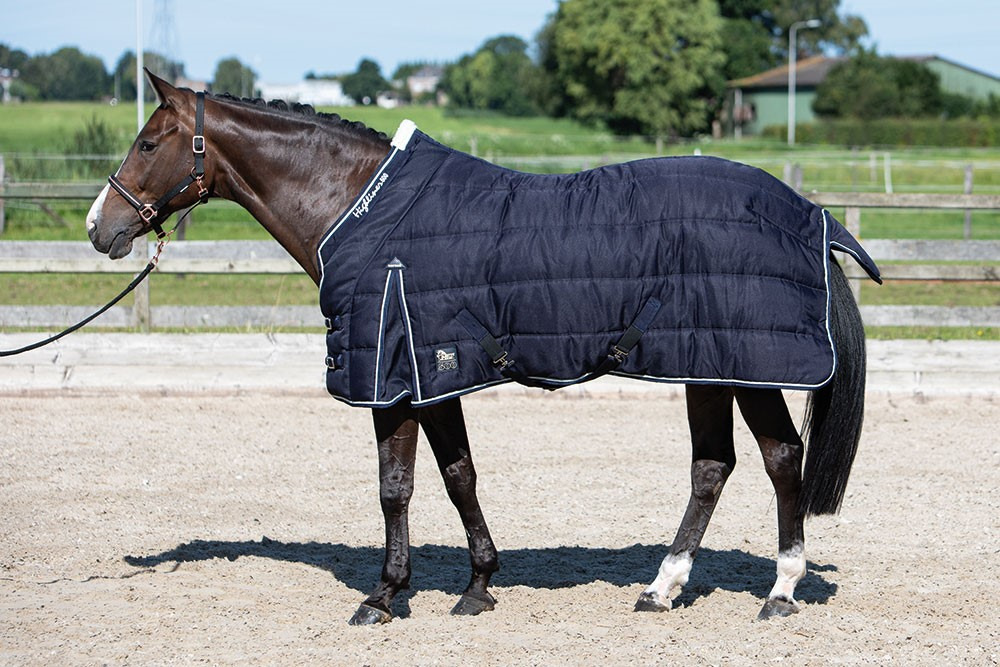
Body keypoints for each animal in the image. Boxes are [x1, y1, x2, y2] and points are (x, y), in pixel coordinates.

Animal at [86, 71, 879, 625]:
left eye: (148, 142)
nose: (100, 227)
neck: (359, 208)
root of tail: (810, 214)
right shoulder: (433, 375)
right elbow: (458, 474)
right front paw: (477, 585)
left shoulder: (392, 378)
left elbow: (396, 487)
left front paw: (384, 596)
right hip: (707, 365)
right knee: (713, 467)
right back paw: (662, 588)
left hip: (748, 367)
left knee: (780, 460)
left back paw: (779, 590)